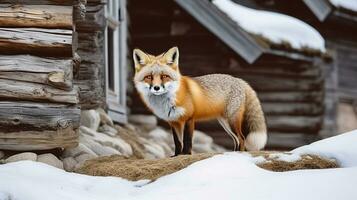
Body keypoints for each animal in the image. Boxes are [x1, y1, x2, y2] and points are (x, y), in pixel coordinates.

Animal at [132, 46, 266, 155]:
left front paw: (186, 154)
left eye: (164, 76)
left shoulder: (189, 119)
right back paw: (233, 153)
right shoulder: (174, 122)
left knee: (242, 138)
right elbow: (177, 142)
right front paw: (176, 155)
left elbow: (187, 140)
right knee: (236, 139)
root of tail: (240, 80)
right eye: (149, 77)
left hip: (231, 121)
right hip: (225, 123)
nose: (156, 88)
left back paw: (239, 154)